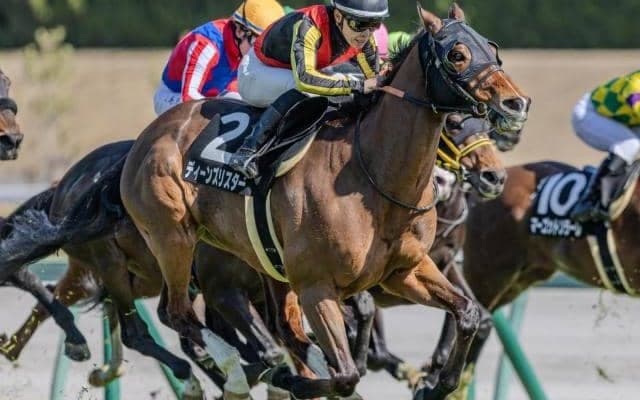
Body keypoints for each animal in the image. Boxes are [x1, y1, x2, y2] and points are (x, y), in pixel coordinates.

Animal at [116, 3, 529, 399]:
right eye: (457, 54)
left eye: (491, 47)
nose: (516, 103)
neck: (372, 177)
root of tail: (151, 134)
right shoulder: (317, 287)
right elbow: (345, 373)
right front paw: (296, 380)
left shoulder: (407, 270)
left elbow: (469, 314)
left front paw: (436, 384)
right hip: (174, 240)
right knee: (179, 314)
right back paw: (241, 375)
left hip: (265, 265)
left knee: (281, 329)